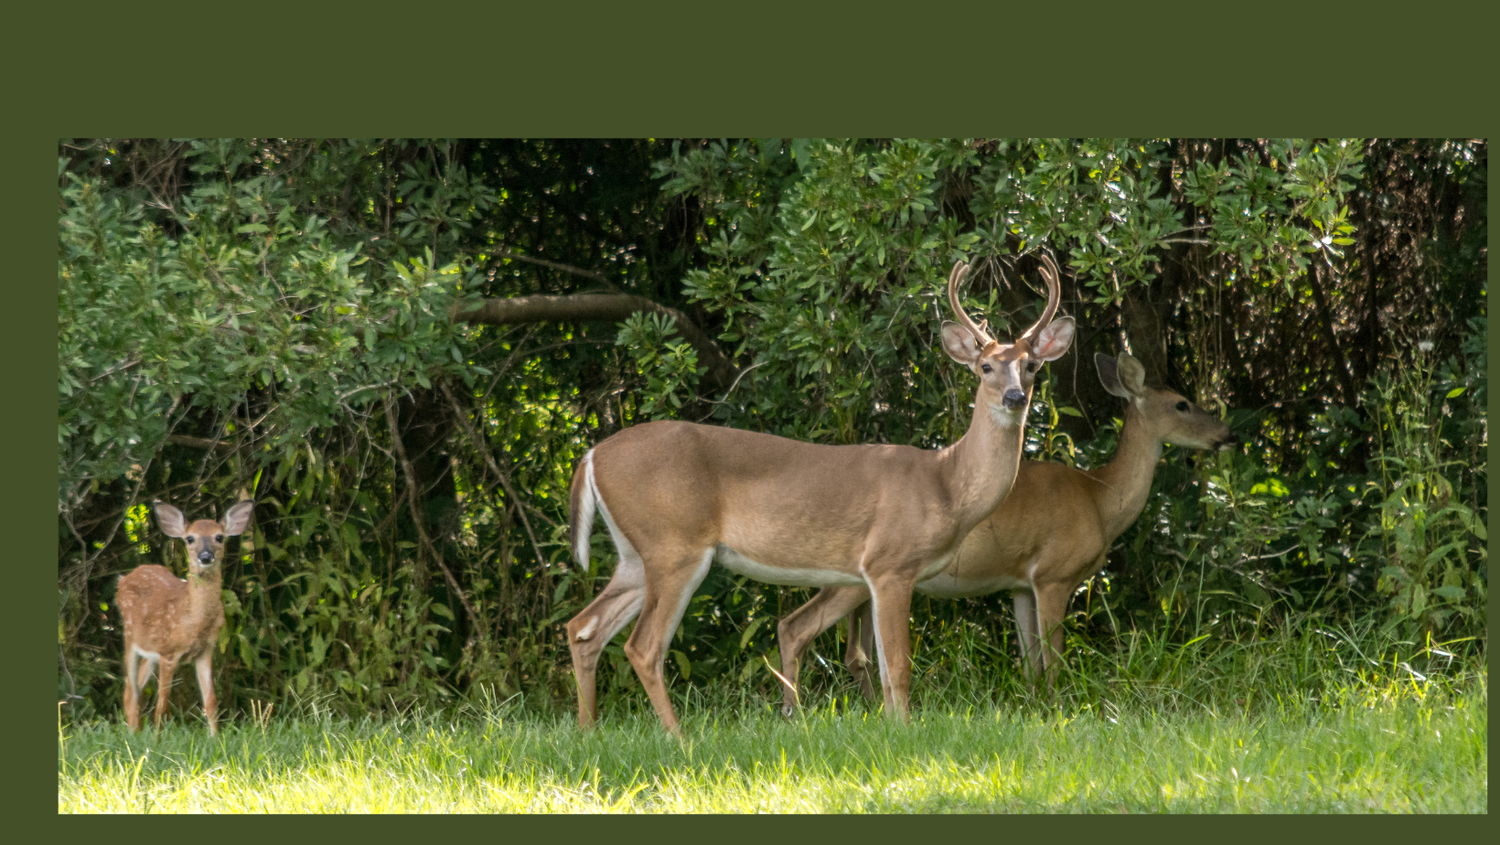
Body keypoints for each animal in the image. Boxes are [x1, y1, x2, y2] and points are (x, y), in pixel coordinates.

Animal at [116, 499, 254, 736]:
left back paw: (136, 732)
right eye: (190, 538)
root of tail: (123, 579)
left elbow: (211, 701)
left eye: (219, 537)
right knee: (130, 691)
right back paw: (133, 734)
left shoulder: (205, 650)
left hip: (150, 651)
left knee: (135, 691)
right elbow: (162, 705)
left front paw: (215, 737)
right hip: (130, 637)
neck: (192, 620)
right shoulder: (168, 653)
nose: (205, 557)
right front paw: (157, 740)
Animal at [565, 255, 1076, 735]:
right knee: (642, 646)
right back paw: (679, 737)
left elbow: (883, 669)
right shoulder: (890, 564)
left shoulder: (879, 574)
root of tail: (591, 455)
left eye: (1031, 366)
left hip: (637, 554)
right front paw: (904, 732)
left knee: (584, 627)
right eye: (985, 366)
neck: (945, 483)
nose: (1014, 397)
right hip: (675, 545)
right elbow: (898, 667)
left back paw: (589, 729)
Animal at [775, 351, 1239, 711]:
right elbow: (1053, 656)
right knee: (803, 629)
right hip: (860, 573)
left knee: (855, 652)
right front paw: (1058, 705)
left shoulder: (1019, 582)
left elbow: (1030, 659)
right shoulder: (1054, 573)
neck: (1100, 499)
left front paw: (1032, 704)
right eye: (1182, 404)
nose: (1229, 435)